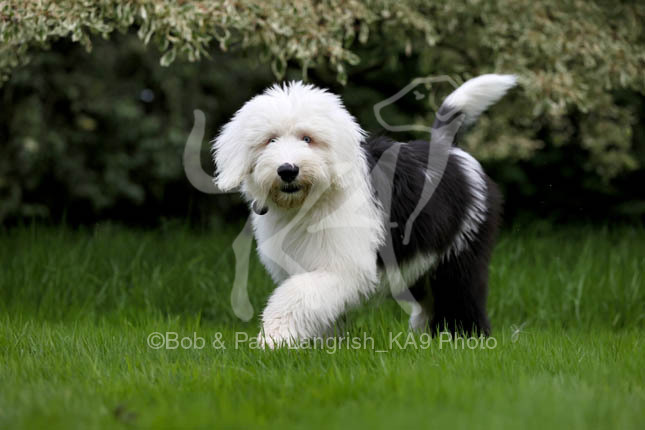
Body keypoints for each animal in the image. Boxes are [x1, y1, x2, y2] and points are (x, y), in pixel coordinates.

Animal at [214, 74, 516, 350]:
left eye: (308, 138)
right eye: (270, 140)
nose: (288, 170)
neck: (310, 203)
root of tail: (450, 149)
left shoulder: (343, 266)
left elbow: (297, 295)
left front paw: (274, 337)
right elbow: (316, 306)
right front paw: (320, 344)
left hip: (462, 252)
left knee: (462, 298)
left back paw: (468, 340)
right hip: (419, 263)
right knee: (429, 303)